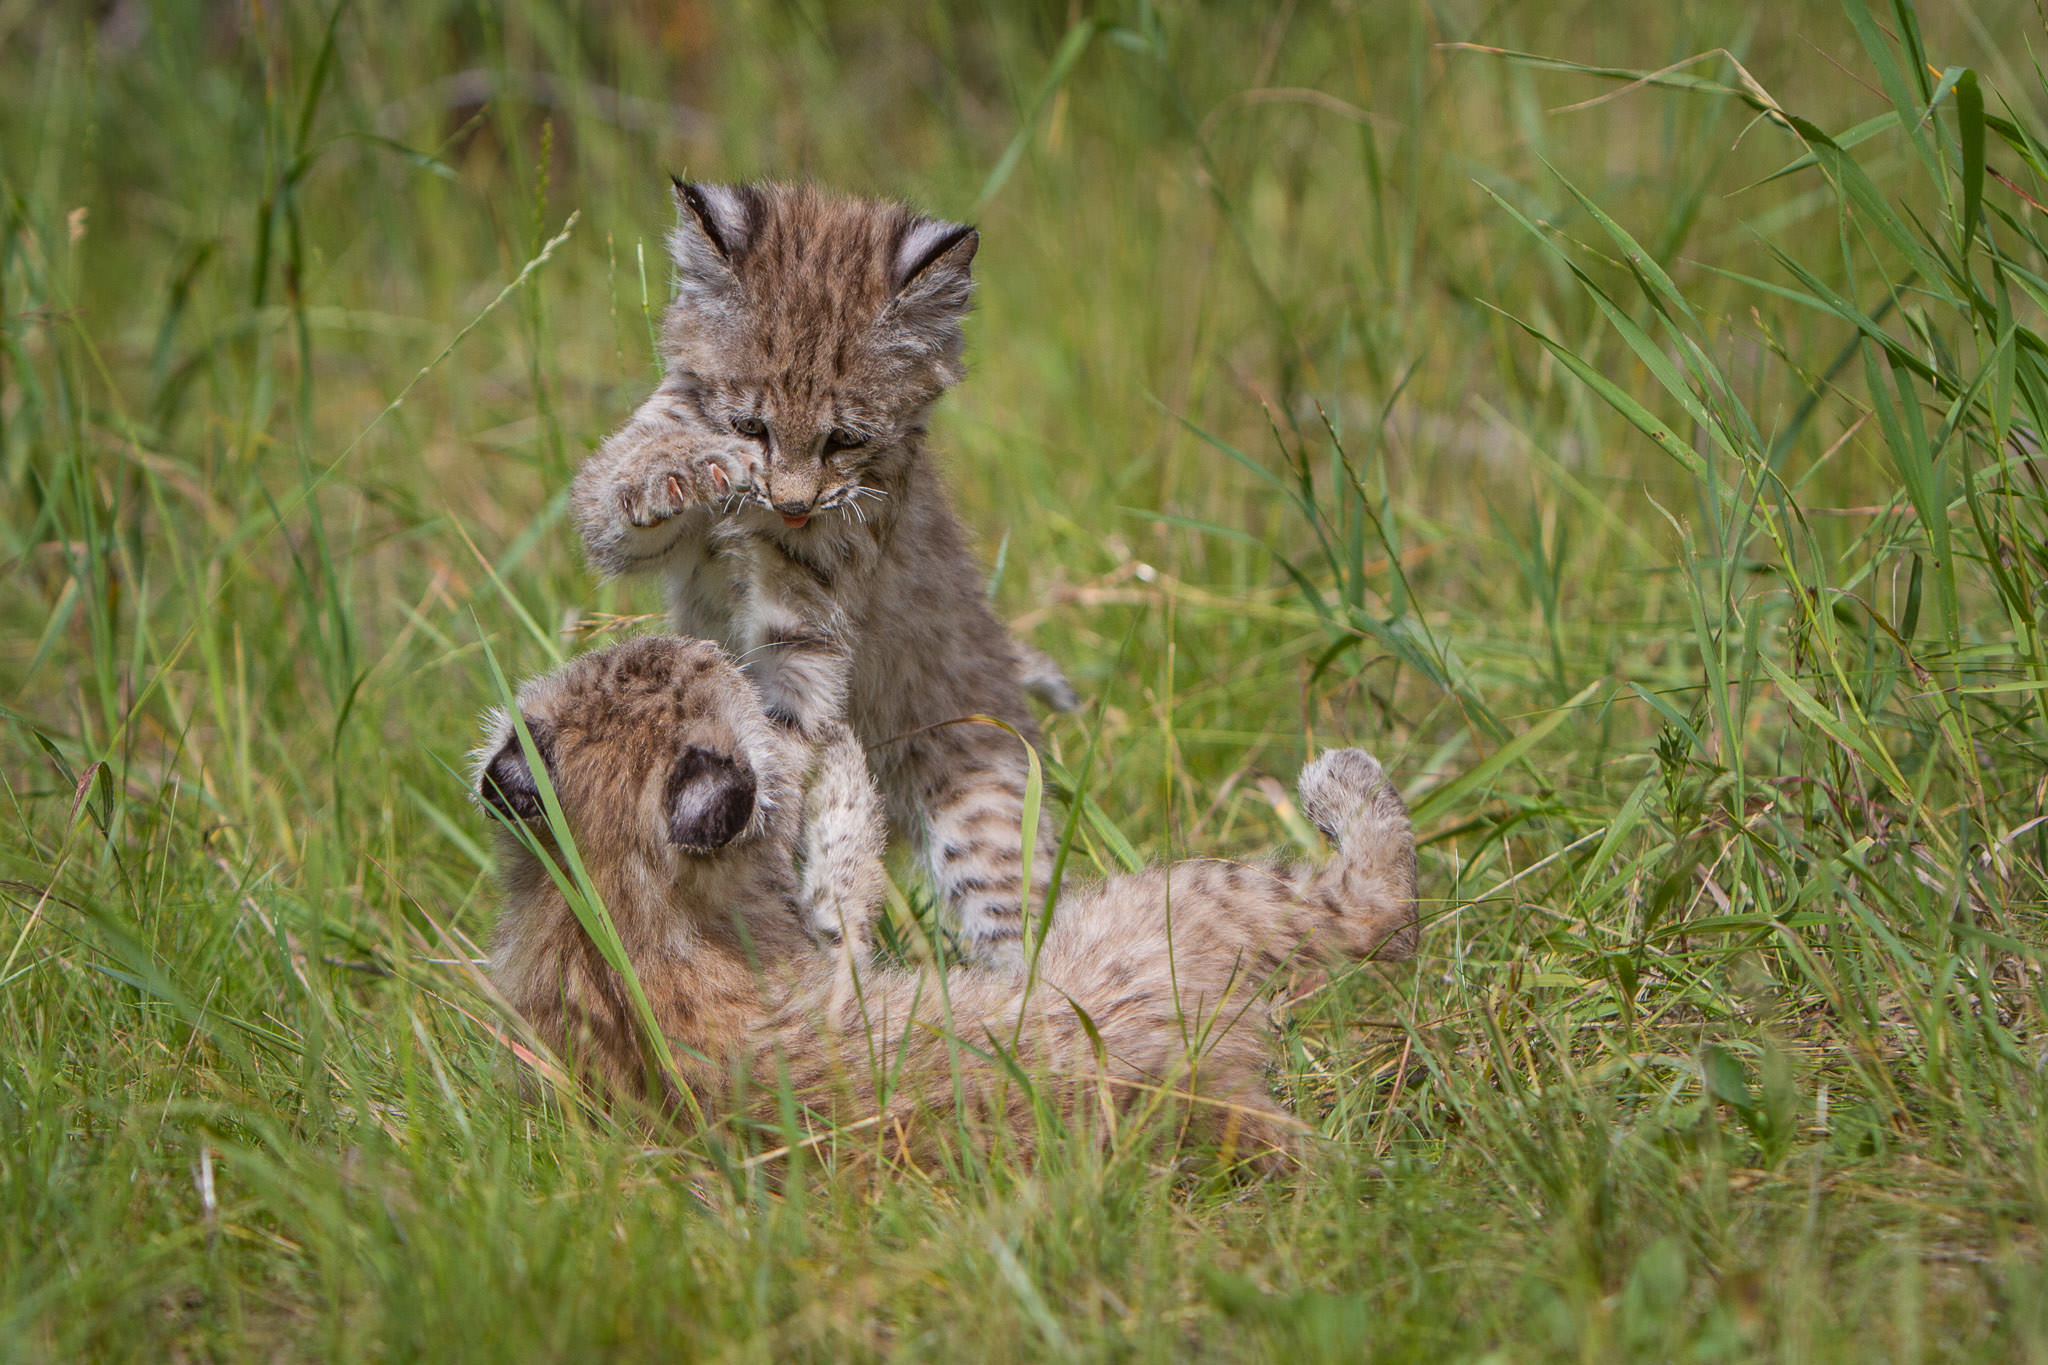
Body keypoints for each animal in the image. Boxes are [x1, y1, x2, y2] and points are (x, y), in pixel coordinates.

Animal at [475, 642, 1425, 1162]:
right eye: (708, 671)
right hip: (1165, 906)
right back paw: (1346, 785)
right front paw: (838, 755)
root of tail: (1197, 1097)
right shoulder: (836, 968)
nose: (718, 648)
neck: (597, 896)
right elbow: (845, 874)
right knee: (1373, 910)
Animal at [569, 181, 1064, 965]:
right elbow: (620, 487)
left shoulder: (805, 634)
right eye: (751, 426)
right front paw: (681, 467)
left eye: (845, 440)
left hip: (982, 810)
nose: (794, 505)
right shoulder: (617, 508)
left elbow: (784, 729)